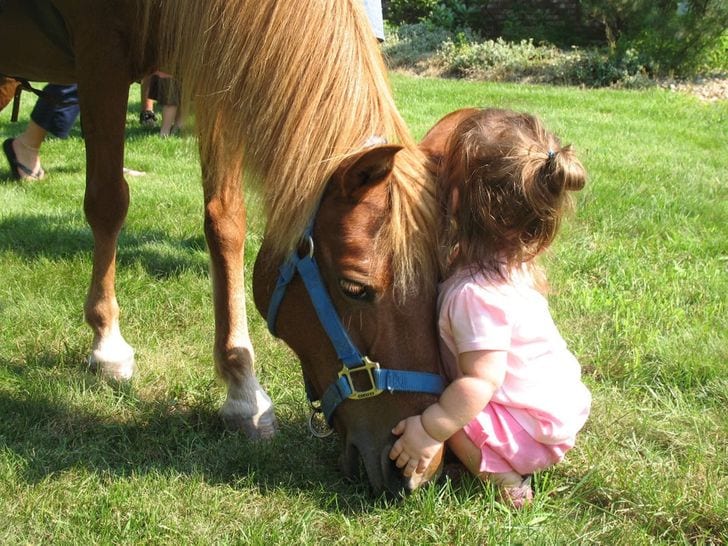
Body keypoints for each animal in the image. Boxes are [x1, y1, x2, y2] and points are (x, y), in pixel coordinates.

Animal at [0, 0, 444, 492]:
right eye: (355, 288)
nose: (420, 466)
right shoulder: (101, 54)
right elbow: (108, 202)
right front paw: (107, 345)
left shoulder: (217, 65)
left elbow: (226, 220)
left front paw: (243, 389)